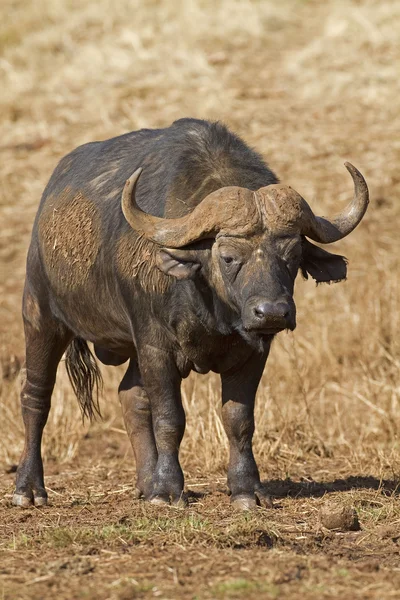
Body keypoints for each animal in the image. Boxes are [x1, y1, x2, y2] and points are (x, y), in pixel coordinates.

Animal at [14, 119, 370, 508]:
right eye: (228, 257)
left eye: (292, 256)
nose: (272, 312)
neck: (212, 309)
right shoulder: (156, 347)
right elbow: (170, 417)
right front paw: (168, 489)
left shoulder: (254, 352)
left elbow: (238, 419)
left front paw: (246, 489)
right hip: (41, 317)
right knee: (36, 396)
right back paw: (29, 489)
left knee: (131, 396)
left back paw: (145, 482)